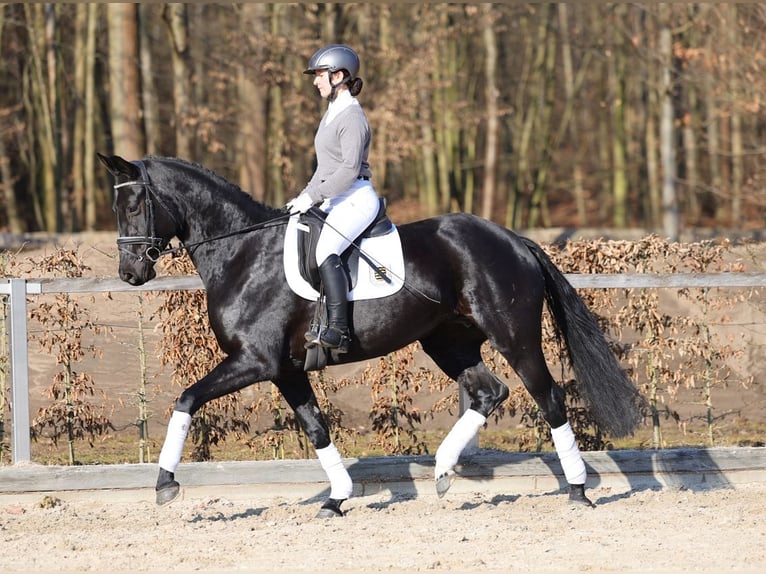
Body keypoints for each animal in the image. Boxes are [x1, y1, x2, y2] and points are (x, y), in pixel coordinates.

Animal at [98, 153, 641, 517]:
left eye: (135, 203)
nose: (129, 273)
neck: (242, 253)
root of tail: (513, 239)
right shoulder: (285, 370)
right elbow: (316, 428)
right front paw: (337, 499)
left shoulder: (254, 361)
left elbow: (186, 399)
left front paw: (165, 483)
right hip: (447, 341)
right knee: (489, 392)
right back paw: (442, 471)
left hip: (515, 336)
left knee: (547, 397)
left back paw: (578, 490)